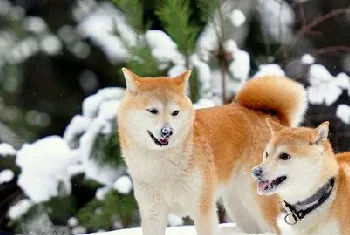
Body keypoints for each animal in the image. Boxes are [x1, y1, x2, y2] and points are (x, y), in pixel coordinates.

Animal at [117, 68, 306, 235]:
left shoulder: (202, 210)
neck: (162, 165)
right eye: (153, 110)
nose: (167, 131)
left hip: (257, 202)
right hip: (239, 209)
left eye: (175, 112)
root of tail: (270, 116)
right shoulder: (153, 213)